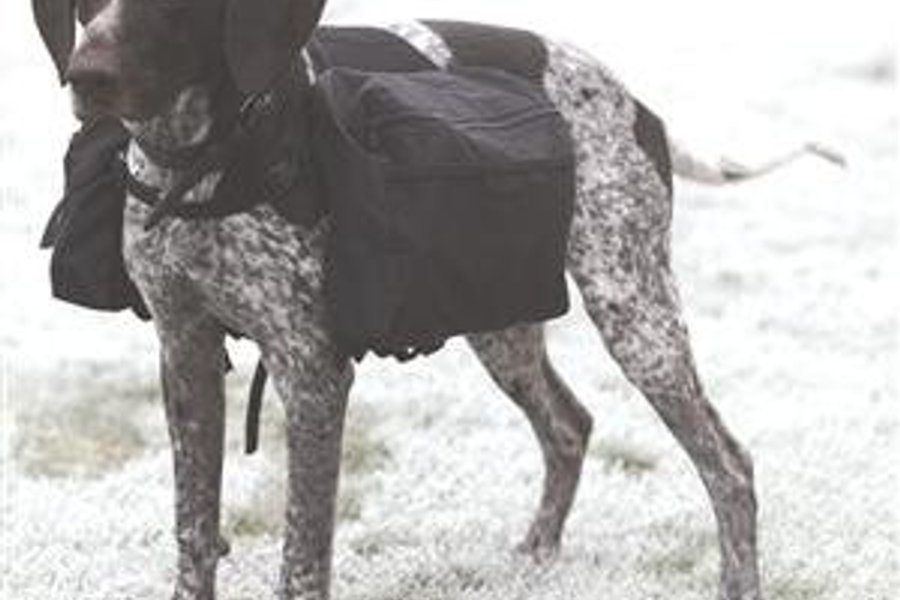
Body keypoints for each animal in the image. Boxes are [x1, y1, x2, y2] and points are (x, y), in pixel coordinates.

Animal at [31, 1, 778, 599]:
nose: (85, 75)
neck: (204, 162)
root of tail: (638, 104)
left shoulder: (311, 373)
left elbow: (302, 558)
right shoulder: (184, 353)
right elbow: (194, 531)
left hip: (635, 313)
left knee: (728, 464)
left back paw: (737, 581)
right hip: (501, 323)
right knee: (571, 425)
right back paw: (536, 556)